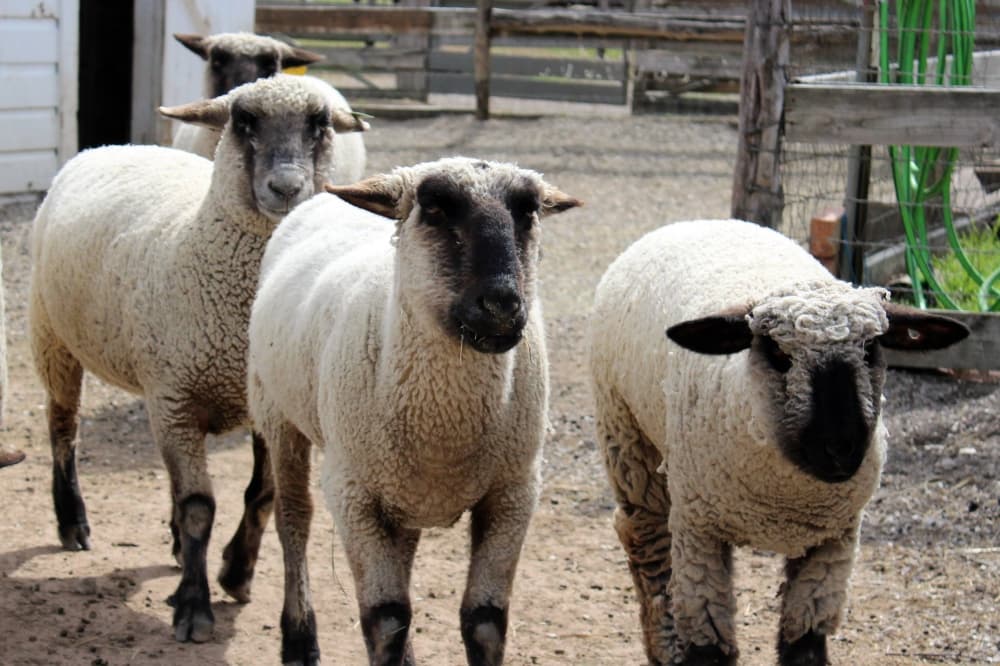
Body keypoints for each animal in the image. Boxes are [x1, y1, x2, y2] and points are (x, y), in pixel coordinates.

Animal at [29, 74, 368, 644]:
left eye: (320, 125)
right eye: (243, 121)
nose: (286, 187)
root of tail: (114, 145)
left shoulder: (263, 404)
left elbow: (262, 495)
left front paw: (236, 571)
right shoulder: (177, 398)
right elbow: (198, 508)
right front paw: (193, 606)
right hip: (53, 337)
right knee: (63, 428)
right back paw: (71, 521)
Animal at [246, 157, 581, 665]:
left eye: (528, 212)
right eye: (435, 208)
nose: (502, 305)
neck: (446, 426)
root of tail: (324, 196)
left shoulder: (514, 492)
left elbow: (484, 622)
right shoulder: (353, 493)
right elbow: (385, 620)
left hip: (400, 486)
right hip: (278, 415)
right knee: (294, 521)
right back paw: (299, 637)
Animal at [588, 219, 968, 666]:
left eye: (872, 348)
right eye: (777, 353)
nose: (840, 447)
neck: (784, 500)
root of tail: (698, 221)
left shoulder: (834, 541)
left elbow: (804, 643)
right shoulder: (699, 530)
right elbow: (709, 644)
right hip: (628, 437)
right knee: (645, 537)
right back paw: (665, 646)